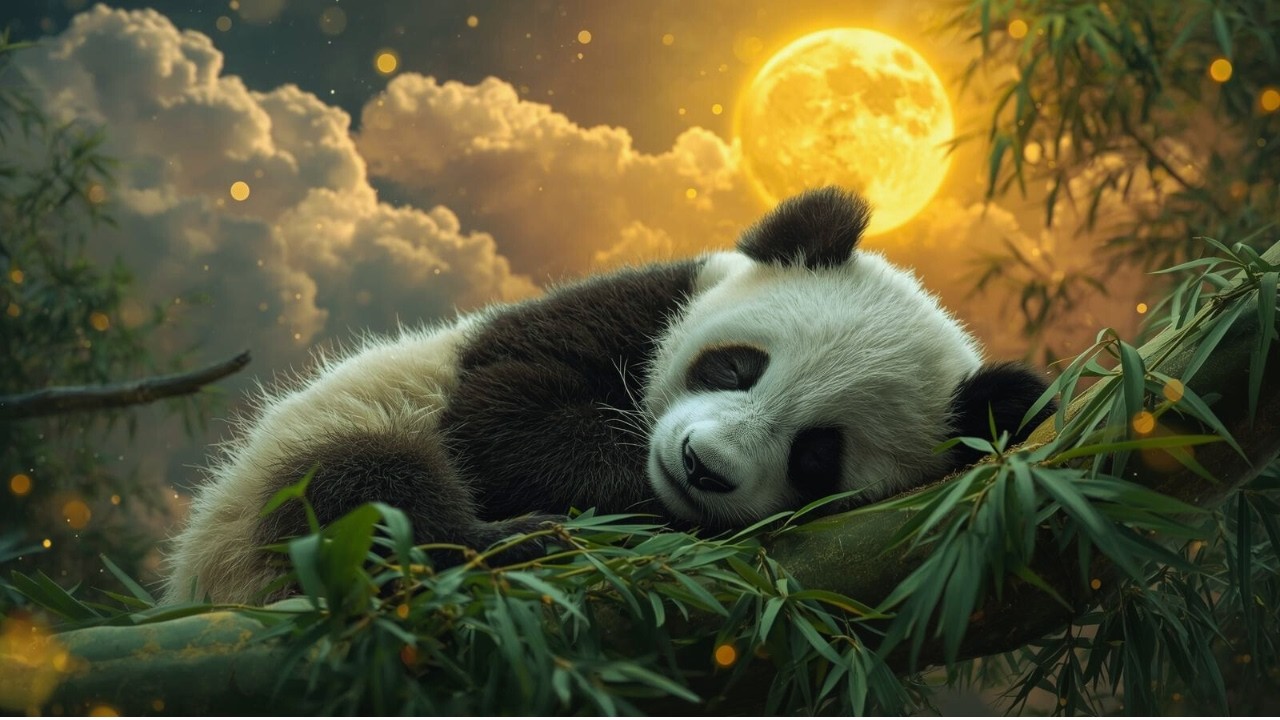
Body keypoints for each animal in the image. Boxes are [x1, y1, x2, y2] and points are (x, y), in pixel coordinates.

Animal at [161, 187, 1052, 605]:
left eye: (818, 454)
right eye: (736, 368)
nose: (699, 466)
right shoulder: (631, 304)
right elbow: (509, 406)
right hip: (304, 457)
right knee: (357, 498)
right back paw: (519, 543)